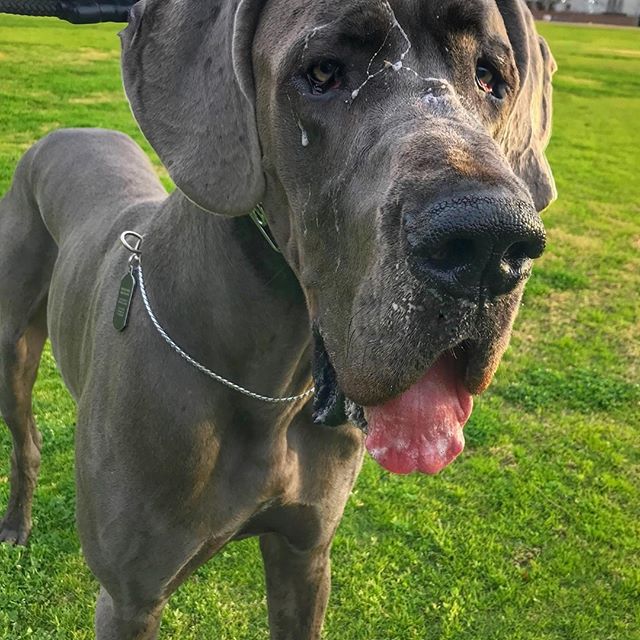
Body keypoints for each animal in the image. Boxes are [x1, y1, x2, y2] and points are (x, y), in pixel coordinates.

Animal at [0, 0, 556, 636]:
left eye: (491, 77)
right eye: (323, 72)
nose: (490, 246)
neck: (270, 391)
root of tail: (68, 132)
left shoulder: (305, 557)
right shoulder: (130, 600)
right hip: (12, 352)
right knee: (25, 442)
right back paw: (16, 524)